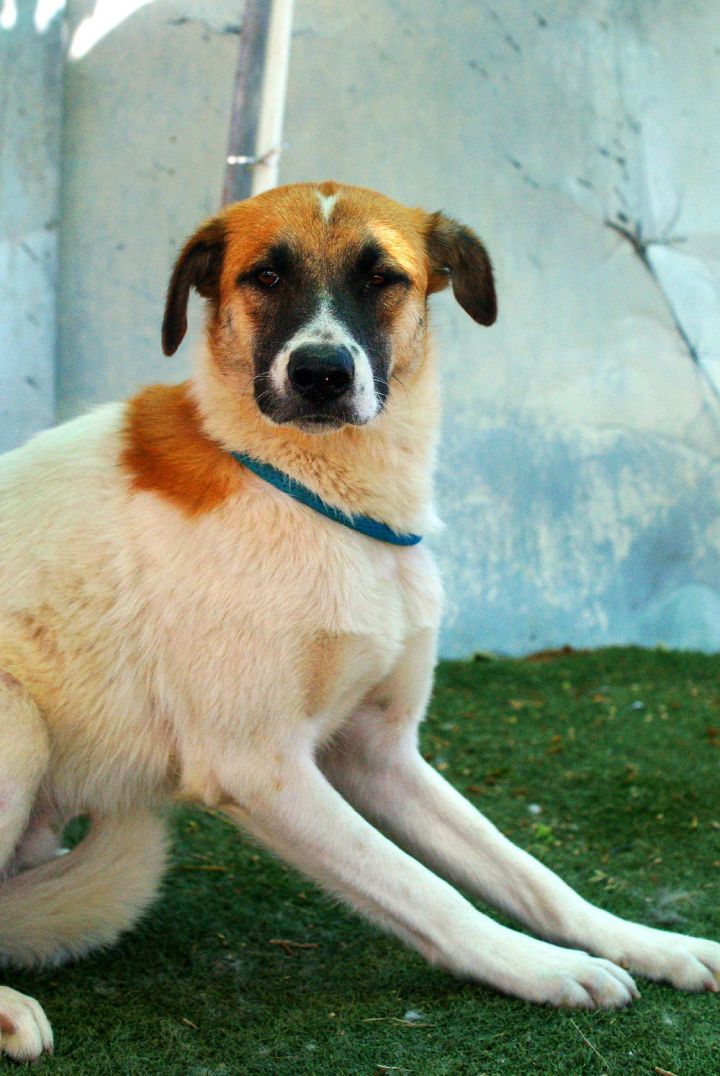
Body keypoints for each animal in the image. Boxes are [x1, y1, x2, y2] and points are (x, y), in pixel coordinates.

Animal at [1, 182, 718, 1058]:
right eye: (265, 275)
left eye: (384, 277)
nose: (320, 373)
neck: (321, 497)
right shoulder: (259, 767)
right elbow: (429, 892)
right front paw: (543, 968)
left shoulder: (378, 751)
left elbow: (529, 874)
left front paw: (646, 944)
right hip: (18, 726)